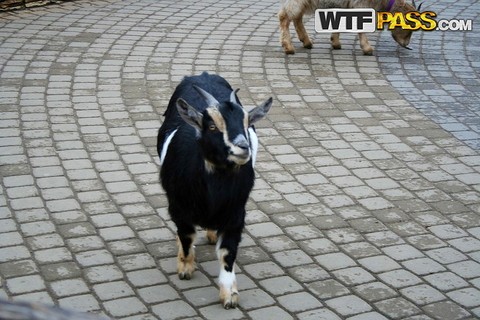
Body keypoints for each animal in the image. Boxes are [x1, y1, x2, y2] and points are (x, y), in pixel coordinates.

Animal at [157, 72, 272, 308]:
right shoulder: (178, 207)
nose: (242, 147)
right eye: (211, 126)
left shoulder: (236, 213)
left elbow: (227, 252)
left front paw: (229, 295)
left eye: (246, 124)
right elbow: (187, 235)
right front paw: (185, 266)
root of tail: (203, 75)